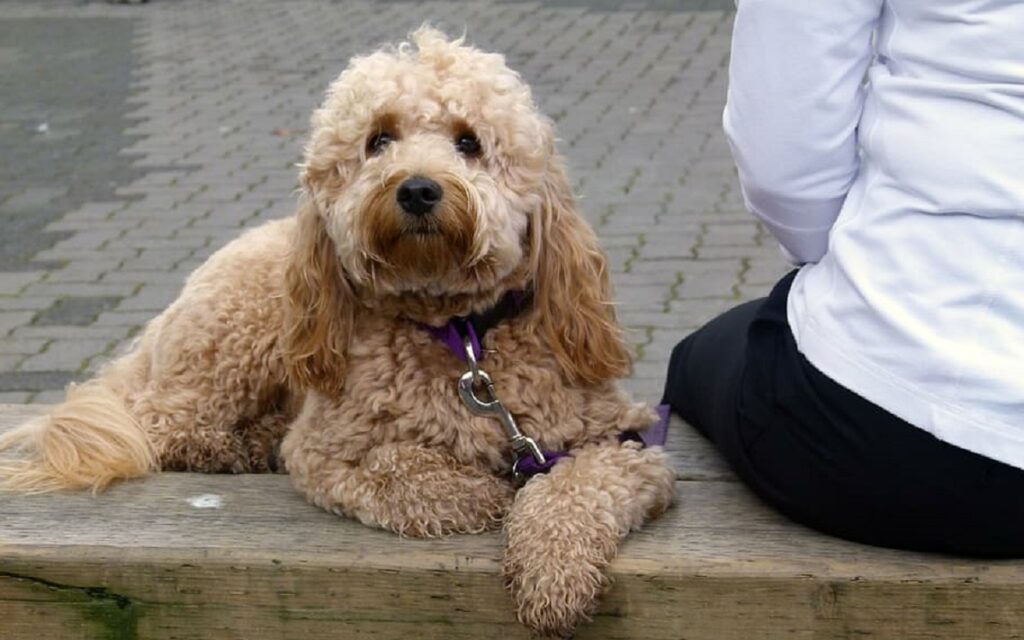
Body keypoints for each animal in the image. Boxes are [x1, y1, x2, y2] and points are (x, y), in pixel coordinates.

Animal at [0, 28, 675, 634]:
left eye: (469, 142)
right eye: (379, 139)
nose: (418, 188)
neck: (457, 336)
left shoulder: (625, 443)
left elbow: (574, 488)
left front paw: (553, 575)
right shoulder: (323, 450)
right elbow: (398, 468)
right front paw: (476, 493)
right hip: (236, 337)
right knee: (162, 425)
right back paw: (236, 448)